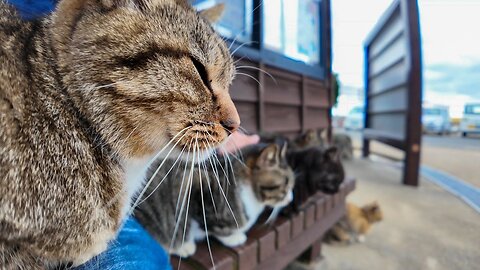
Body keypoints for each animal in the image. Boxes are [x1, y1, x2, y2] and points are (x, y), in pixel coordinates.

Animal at [133, 143, 294, 258]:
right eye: (285, 184)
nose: (290, 199)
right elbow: (213, 224)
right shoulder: (194, 183)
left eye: (292, 184)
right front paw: (233, 237)